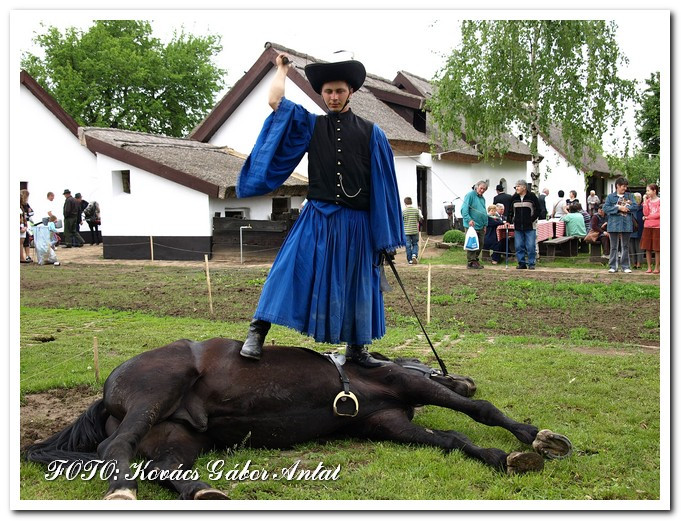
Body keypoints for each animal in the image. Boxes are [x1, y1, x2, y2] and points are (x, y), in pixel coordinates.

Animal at [23, 338, 568, 500]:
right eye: (437, 367)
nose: (466, 378)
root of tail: (108, 392)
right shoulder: (408, 387)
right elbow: (479, 413)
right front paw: (537, 438)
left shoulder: (388, 423)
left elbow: (453, 437)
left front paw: (503, 456)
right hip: (157, 393)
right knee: (112, 451)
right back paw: (122, 492)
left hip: (176, 434)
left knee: (161, 466)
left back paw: (205, 492)